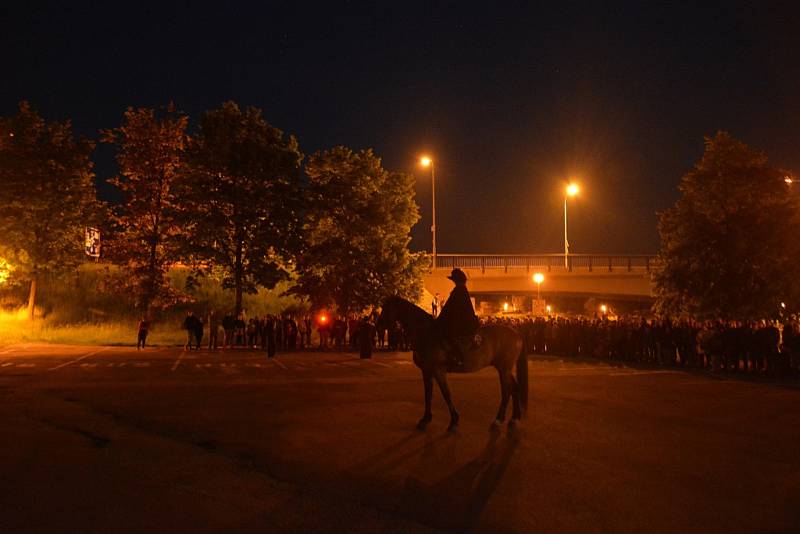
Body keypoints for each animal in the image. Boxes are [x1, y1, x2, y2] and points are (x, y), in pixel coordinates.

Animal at [378, 298, 528, 436]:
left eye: (386, 308)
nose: (379, 325)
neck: (427, 334)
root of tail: (516, 333)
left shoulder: (438, 371)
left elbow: (446, 394)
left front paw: (453, 421)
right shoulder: (427, 372)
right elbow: (428, 395)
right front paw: (425, 419)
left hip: (503, 369)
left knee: (506, 392)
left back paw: (498, 420)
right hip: (505, 369)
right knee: (514, 388)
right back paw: (514, 418)